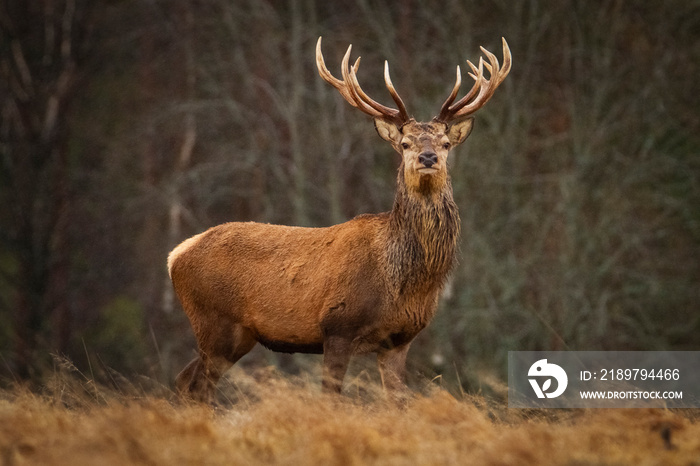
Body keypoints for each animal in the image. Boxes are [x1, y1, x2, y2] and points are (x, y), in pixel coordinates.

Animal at [167, 36, 512, 402]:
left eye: (446, 143)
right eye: (405, 143)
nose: (428, 157)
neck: (403, 282)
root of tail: (176, 255)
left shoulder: (399, 340)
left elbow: (398, 402)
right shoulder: (337, 326)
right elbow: (331, 397)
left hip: (237, 336)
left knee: (185, 380)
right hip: (213, 322)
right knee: (198, 385)